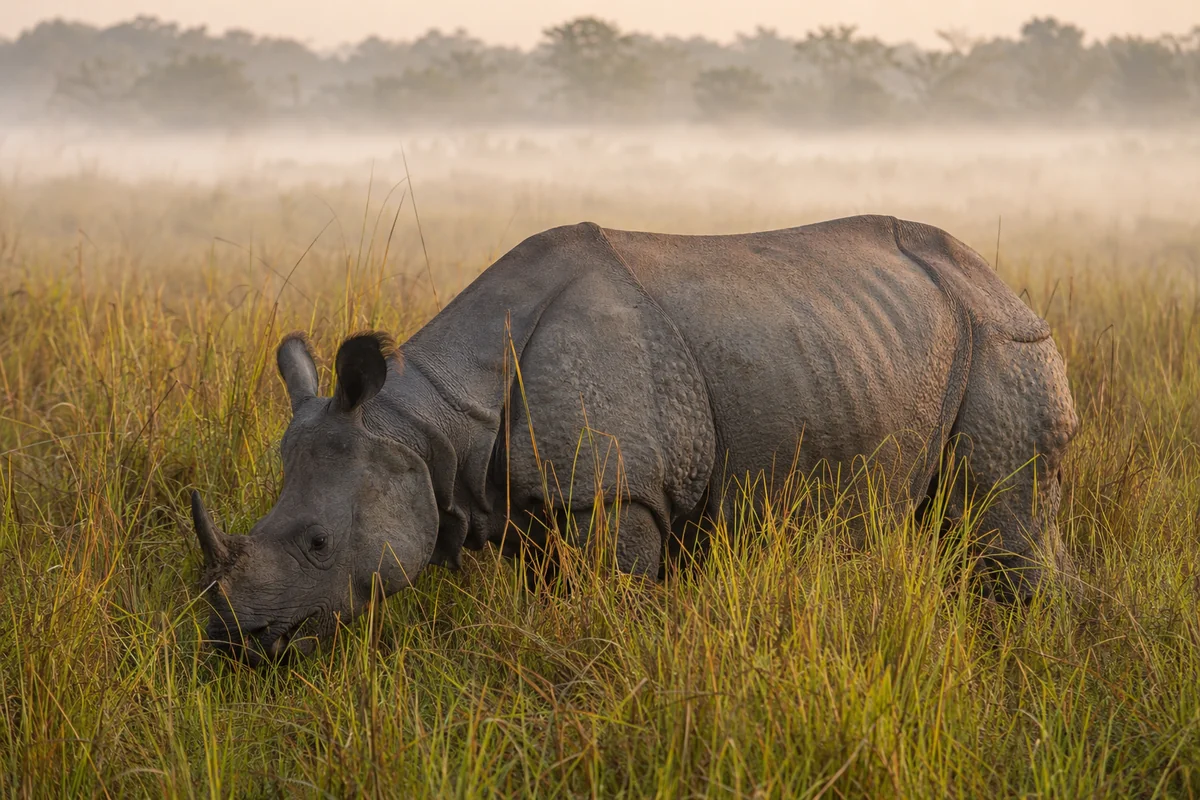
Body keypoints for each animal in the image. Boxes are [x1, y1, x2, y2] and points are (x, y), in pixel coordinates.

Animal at [189, 215, 1078, 664]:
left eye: (317, 544)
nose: (236, 642)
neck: (426, 421)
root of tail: (1003, 281)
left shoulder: (615, 489)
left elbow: (604, 610)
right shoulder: (534, 498)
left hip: (1005, 347)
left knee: (1002, 529)